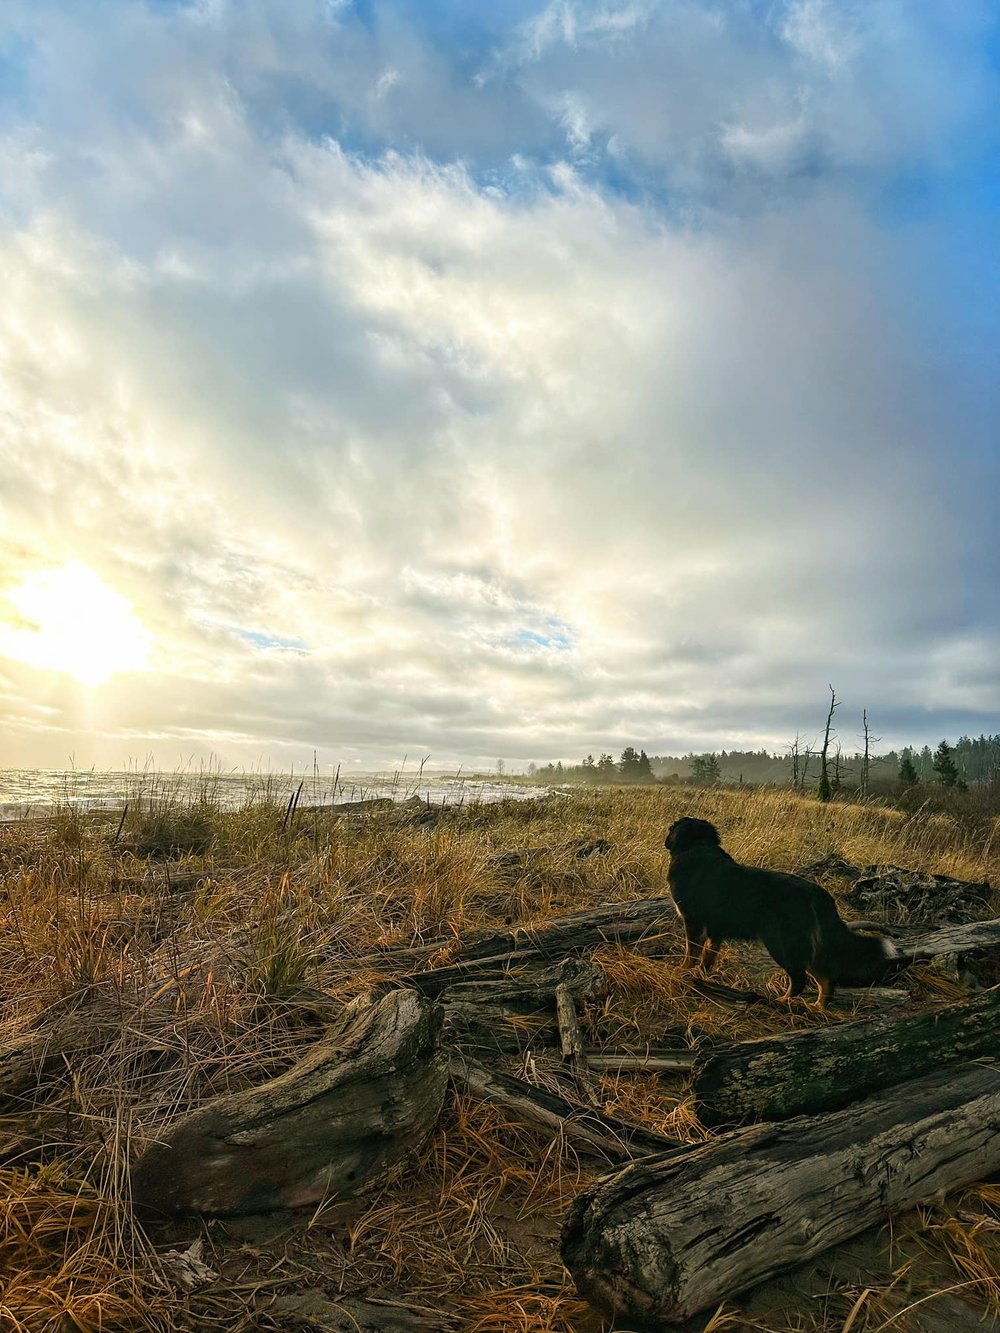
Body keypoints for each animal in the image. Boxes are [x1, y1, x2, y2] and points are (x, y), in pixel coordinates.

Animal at [669, 815, 896, 1002]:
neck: (698, 847)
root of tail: (818, 893)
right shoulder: (714, 931)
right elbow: (707, 957)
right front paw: (701, 974)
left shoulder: (693, 922)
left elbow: (691, 952)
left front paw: (682, 971)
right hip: (805, 945)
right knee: (825, 979)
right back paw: (817, 1007)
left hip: (783, 943)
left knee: (800, 978)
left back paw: (782, 1001)